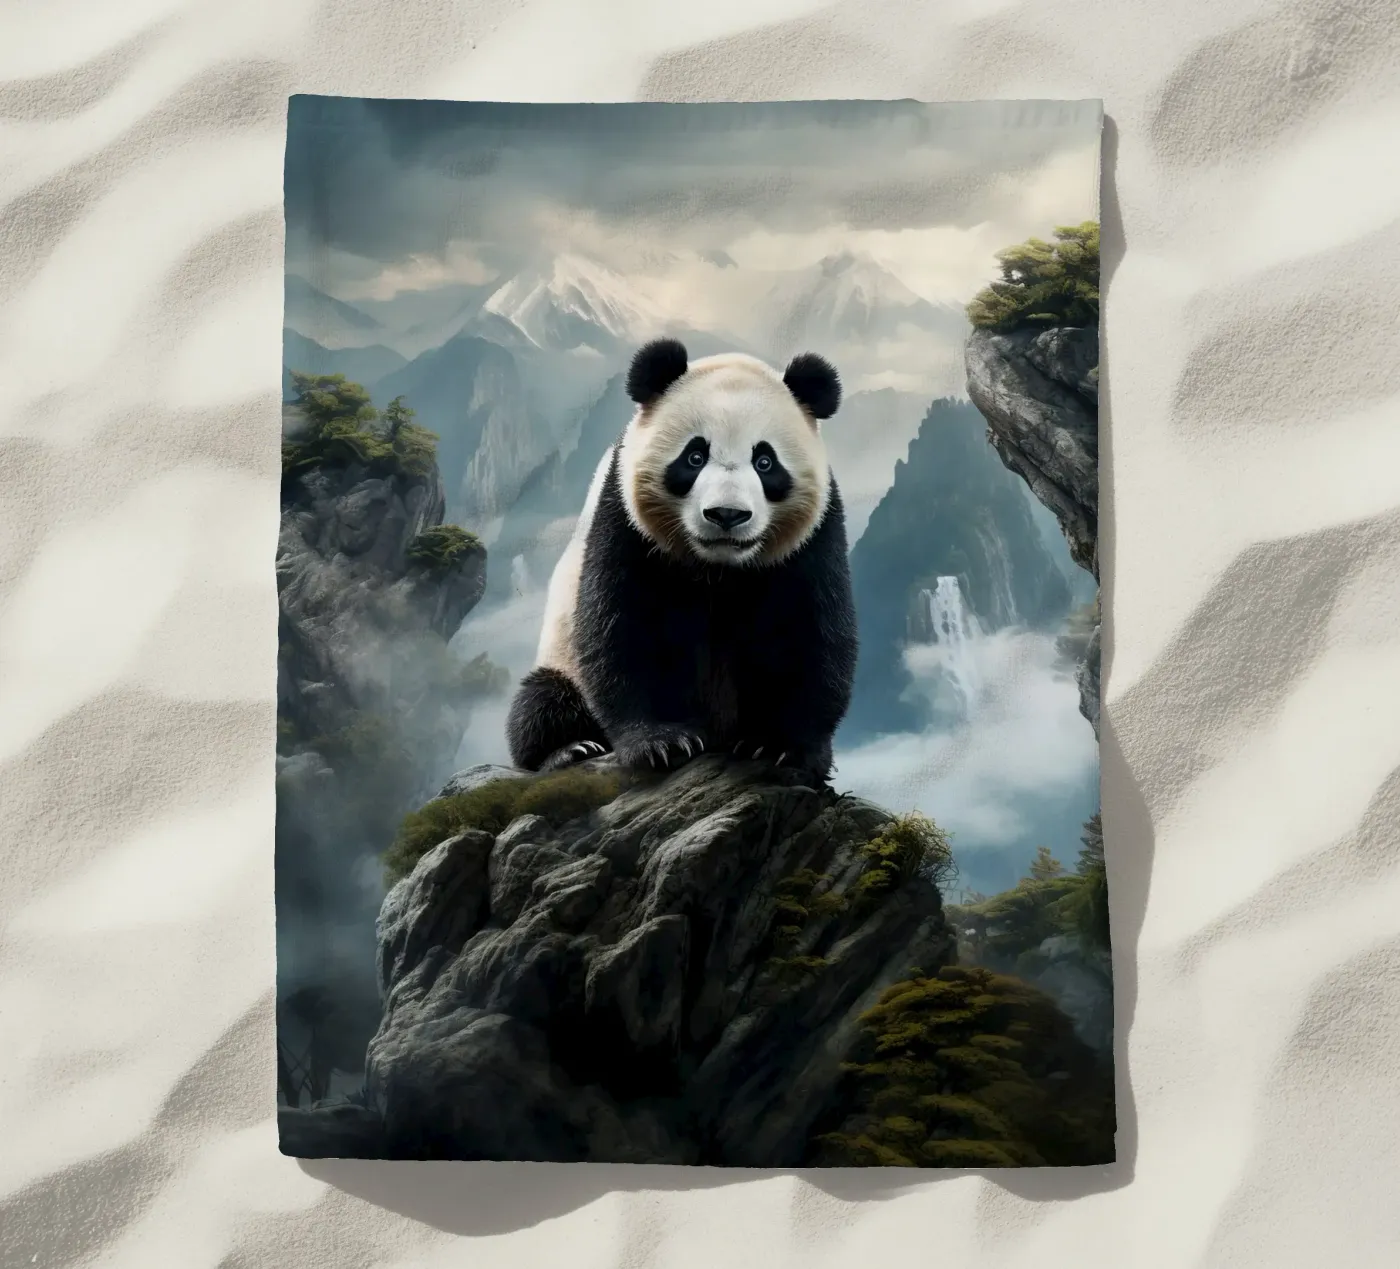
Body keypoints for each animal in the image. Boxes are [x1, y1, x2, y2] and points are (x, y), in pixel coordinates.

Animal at [505, 338, 858, 782]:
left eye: (765, 462)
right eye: (694, 457)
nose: (727, 514)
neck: (717, 568)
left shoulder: (814, 537)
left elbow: (812, 632)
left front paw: (779, 747)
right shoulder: (624, 519)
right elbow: (621, 624)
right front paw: (661, 742)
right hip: (561, 659)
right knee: (542, 701)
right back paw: (569, 749)